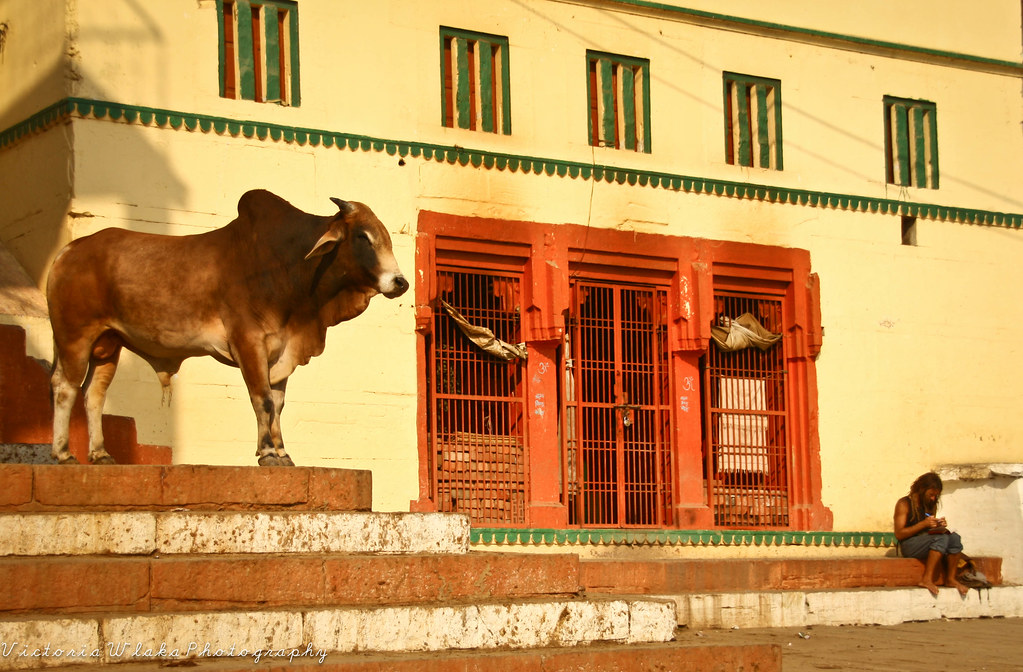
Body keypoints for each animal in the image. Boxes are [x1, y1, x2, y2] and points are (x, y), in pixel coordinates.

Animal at [46, 189, 408, 466]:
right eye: (363, 237)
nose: (400, 282)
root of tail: (69, 250)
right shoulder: (249, 342)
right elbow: (262, 399)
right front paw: (267, 453)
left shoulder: (282, 351)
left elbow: (277, 404)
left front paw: (283, 452)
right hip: (74, 337)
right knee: (65, 387)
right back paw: (63, 454)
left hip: (108, 344)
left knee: (94, 393)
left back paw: (100, 454)